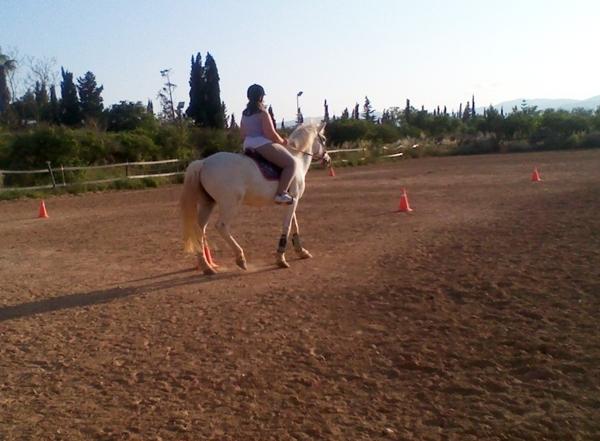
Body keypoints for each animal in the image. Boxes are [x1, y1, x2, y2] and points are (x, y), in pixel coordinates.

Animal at [180, 122, 330, 275]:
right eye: (323, 139)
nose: (327, 159)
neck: (297, 159)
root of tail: (204, 162)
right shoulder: (294, 200)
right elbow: (287, 227)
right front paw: (280, 259)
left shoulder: (291, 201)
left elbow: (294, 224)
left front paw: (301, 251)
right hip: (230, 204)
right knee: (221, 226)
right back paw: (240, 258)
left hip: (208, 203)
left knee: (199, 230)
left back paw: (207, 267)